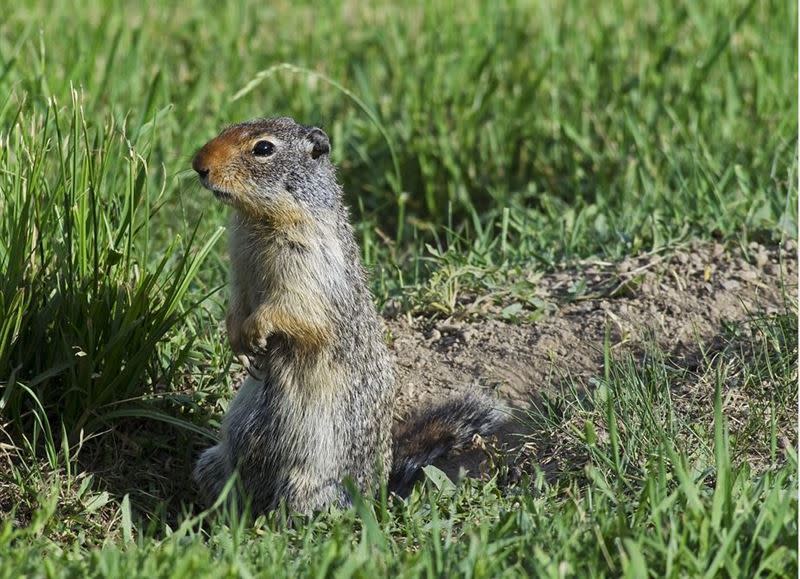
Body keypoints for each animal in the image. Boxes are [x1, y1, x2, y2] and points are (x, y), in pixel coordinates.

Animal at [191, 116, 504, 512]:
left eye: (263, 148)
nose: (198, 164)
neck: (258, 222)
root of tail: (378, 492)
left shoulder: (309, 263)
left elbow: (292, 308)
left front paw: (256, 332)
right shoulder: (240, 266)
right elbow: (237, 302)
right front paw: (238, 340)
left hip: (303, 488)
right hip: (215, 462)